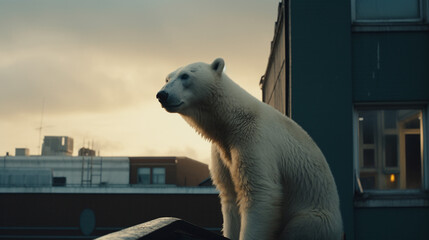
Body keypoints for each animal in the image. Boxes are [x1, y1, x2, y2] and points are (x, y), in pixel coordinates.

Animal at [155, 58, 342, 240]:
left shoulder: (255, 140)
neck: (232, 121)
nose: (162, 95)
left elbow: (259, 192)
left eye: (185, 76)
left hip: (313, 217)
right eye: (167, 78)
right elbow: (230, 197)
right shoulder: (222, 152)